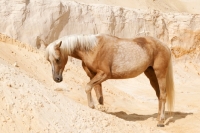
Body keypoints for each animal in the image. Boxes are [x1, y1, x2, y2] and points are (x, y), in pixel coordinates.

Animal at [45, 33, 173, 127]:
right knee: (159, 95)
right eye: (48, 60)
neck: (93, 49)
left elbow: (87, 87)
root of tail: (165, 46)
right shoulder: (93, 76)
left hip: (160, 74)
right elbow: (99, 96)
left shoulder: (103, 74)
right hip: (151, 75)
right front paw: (101, 109)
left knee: (163, 95)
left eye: (57, 59)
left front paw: (91, 105)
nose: (56, 78)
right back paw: (158, 118)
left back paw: (161, 121)